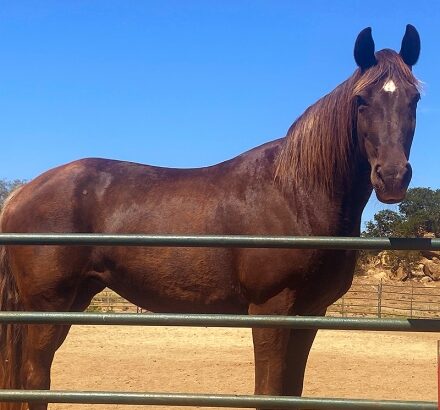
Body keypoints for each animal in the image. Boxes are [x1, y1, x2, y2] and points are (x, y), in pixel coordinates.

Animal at [0, 25, 420, 410]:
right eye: (361, 99)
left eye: (415, 98)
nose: (392, 177)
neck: (296, 193)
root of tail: (21, 193)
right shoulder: (272, 311)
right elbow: (268, 392)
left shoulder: (310, 314)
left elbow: (290, 393)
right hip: (47, 306)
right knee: (34, 380)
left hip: (72, 301)